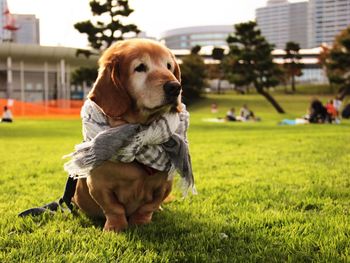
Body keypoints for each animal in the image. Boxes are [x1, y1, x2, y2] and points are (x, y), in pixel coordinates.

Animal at [73, 39, 183, 233]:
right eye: (140, 67)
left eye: (169, 66)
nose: (175, 87)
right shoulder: (98, 185)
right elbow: (113, 208)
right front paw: (115, 227)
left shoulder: (164, 185)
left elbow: (148, 207)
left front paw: (141, 222)